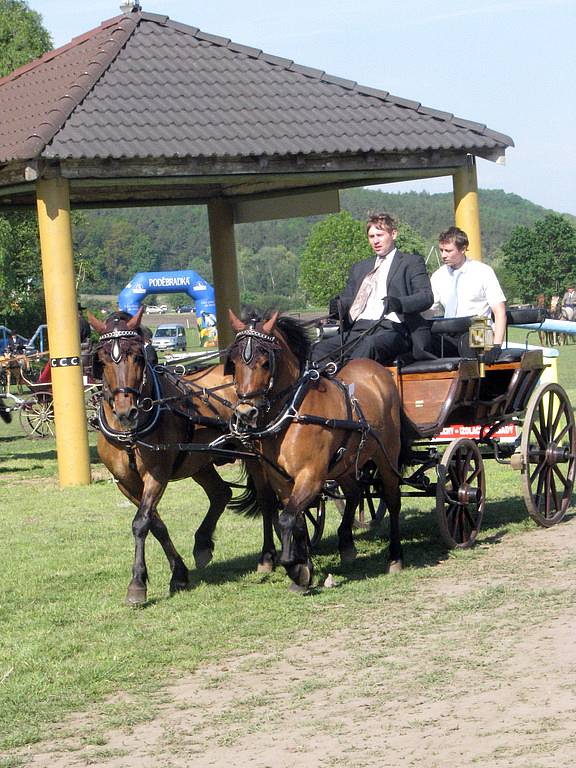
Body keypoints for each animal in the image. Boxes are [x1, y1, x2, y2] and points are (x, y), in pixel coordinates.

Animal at [89, 308, 280, 604]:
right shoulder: (125, 483)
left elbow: (141, 523)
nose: (126, 412)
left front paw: (137, 584)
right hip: (199, 462)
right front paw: (178, 573)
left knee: (267, 500)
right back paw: (202, 543)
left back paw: (268, 555)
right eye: (103, 359)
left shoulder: (156, 475)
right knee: (221, 493)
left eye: (139, 357)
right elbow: (155, 523)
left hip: (254, 454)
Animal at [226, 308, 410, 592]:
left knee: (392, 500)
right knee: (354, 493)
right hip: (346, 463)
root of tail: (377, 371)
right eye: (234, 362)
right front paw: (304, 568)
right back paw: (346, 545)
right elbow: (297, 521)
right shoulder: (282, 481)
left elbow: (288, 519)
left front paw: (294, 566)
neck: (293, 411)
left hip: (386, 456)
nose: (246, 413)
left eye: (266, 362)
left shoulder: (311, 476)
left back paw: (395, 557)